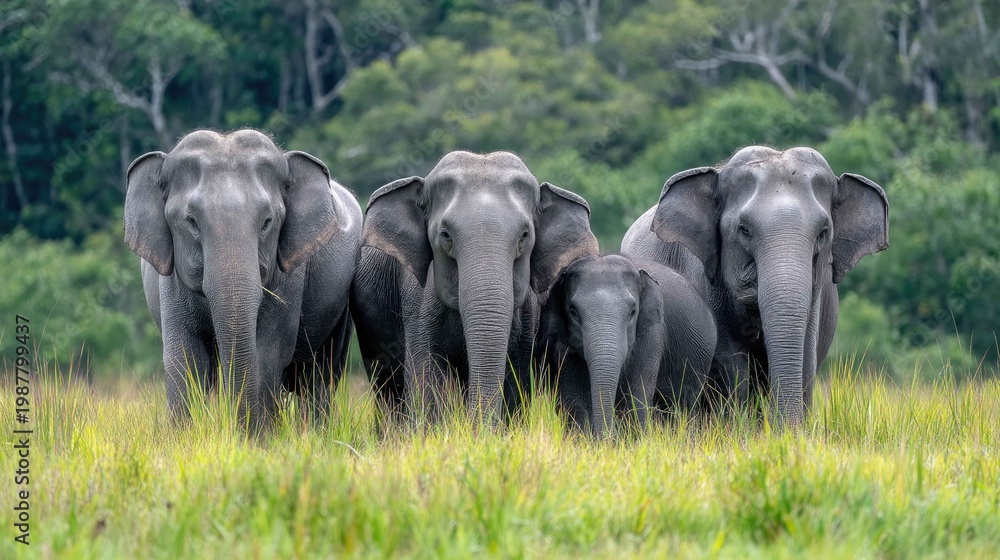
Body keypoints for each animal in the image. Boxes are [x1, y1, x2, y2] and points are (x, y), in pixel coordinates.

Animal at [124, 129, 362, 428]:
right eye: (191, 222)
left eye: (267, 222)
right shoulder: (171, 281)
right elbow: (185, 356)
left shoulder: (289, 277)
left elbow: (268, 353)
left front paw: (258, 436)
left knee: (321, 373)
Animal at [537, 254, 716, 437]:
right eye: (573, 312)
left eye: (632, 311)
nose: (607, 438)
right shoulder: (563, 343)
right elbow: (575, 398)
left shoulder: (652, 336)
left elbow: (636, 396)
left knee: (684, 405)